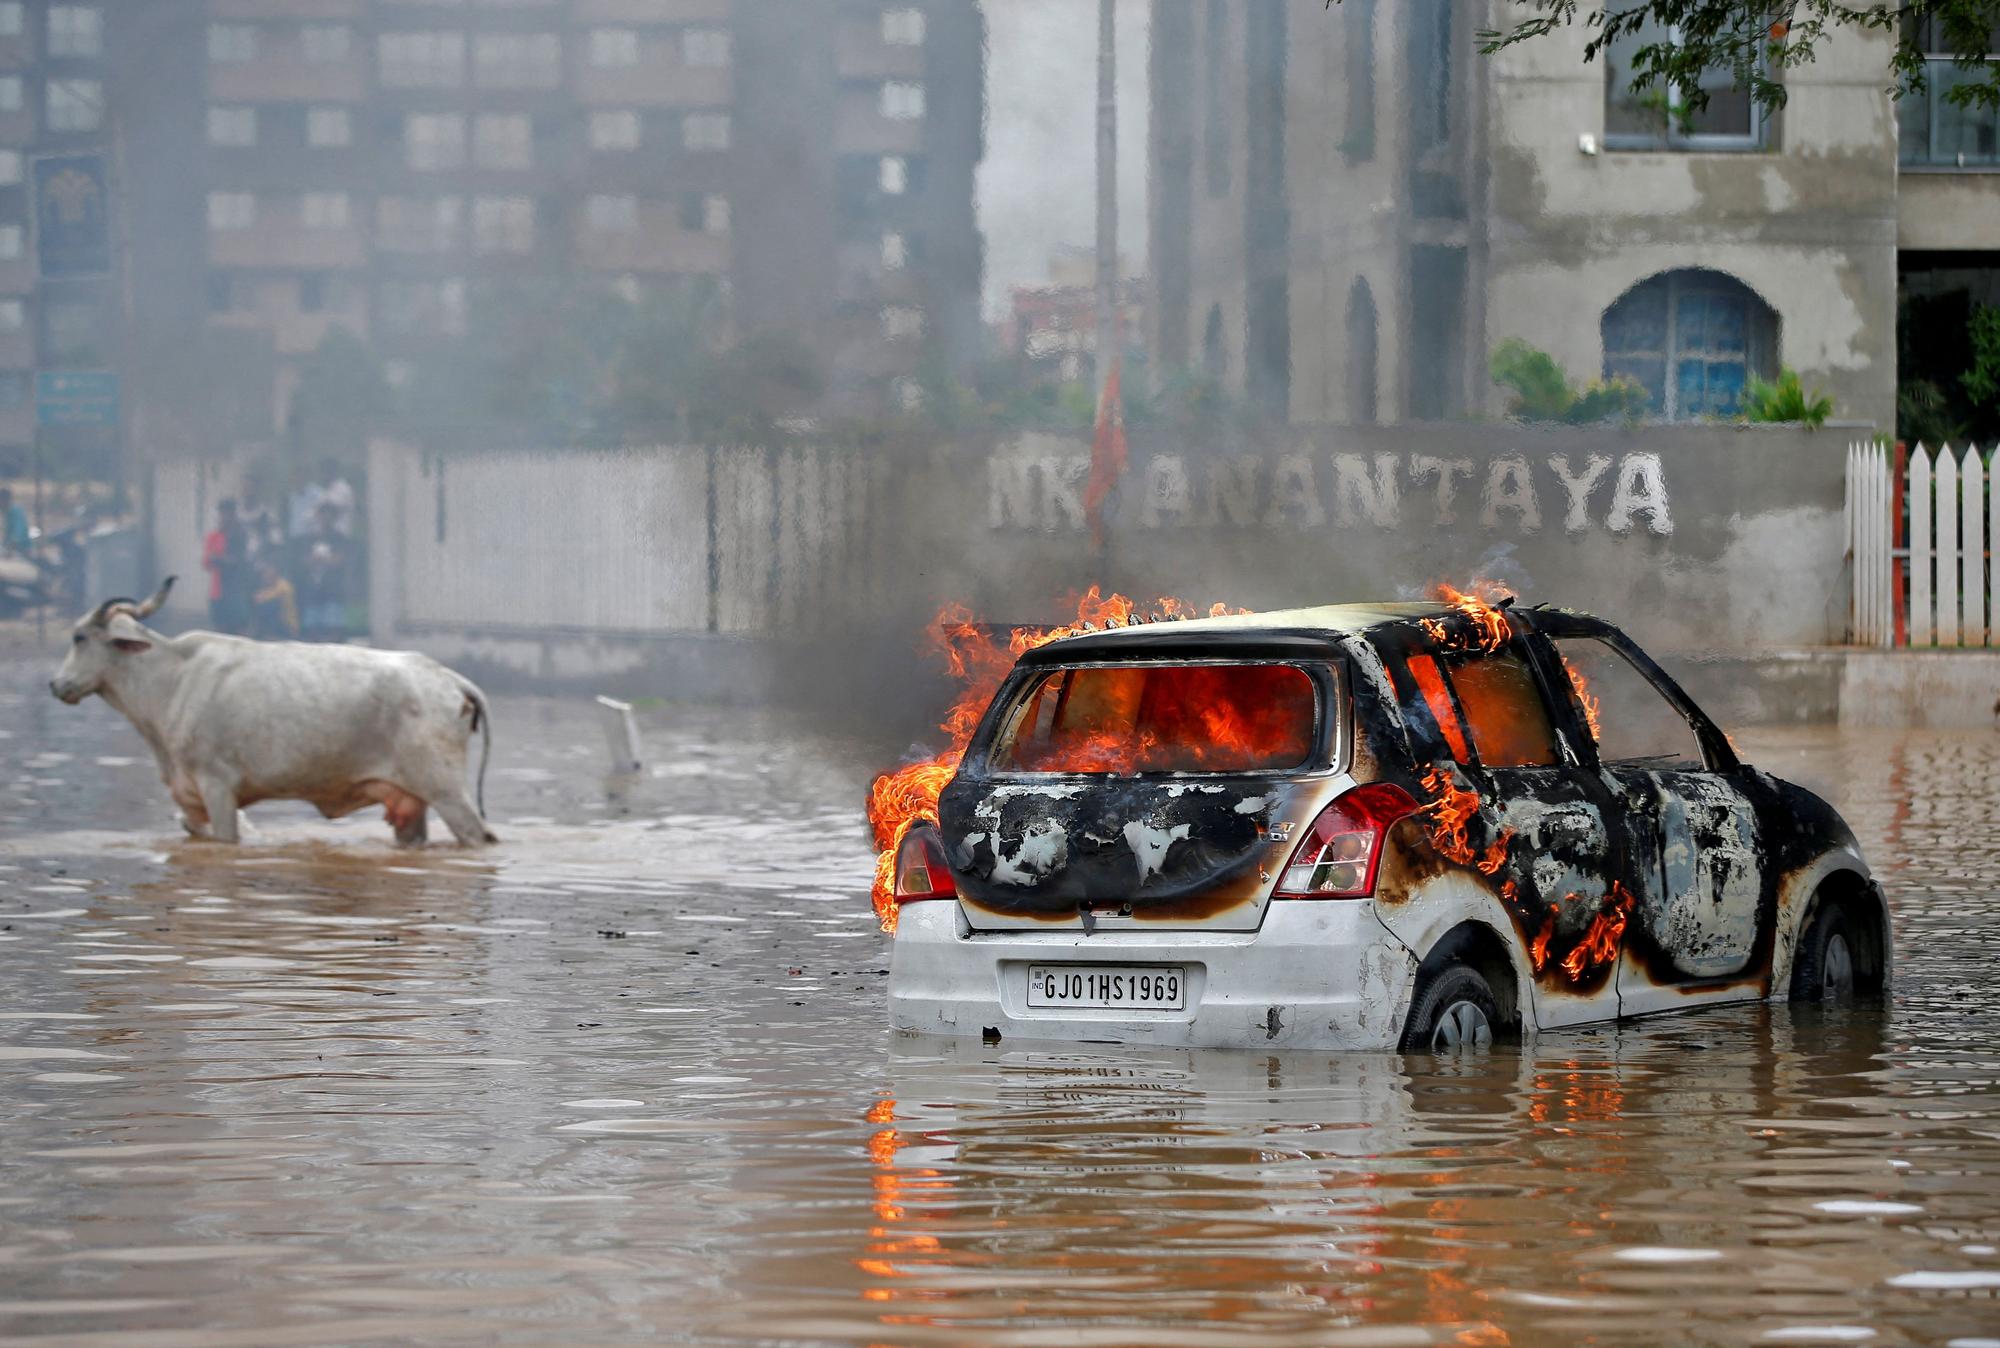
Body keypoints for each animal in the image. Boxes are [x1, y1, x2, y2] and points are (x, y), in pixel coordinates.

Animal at [52, 576, 498, 840]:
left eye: (78, 637)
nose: (57, 685)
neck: (172, 679)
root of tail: (450, 679)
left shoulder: (218, 785)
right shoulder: (191, 799)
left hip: (445, 789)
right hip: (409, 801)